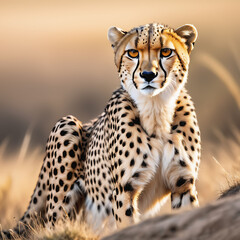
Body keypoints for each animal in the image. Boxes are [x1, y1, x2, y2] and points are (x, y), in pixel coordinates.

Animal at [0, 23, 201, 238]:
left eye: (166, 52)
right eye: (132, 53)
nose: (148, 75)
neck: (156, 111)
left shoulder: (183, 184)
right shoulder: (124, 190)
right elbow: (125, 224)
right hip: (67, 127)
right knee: (54, 225)